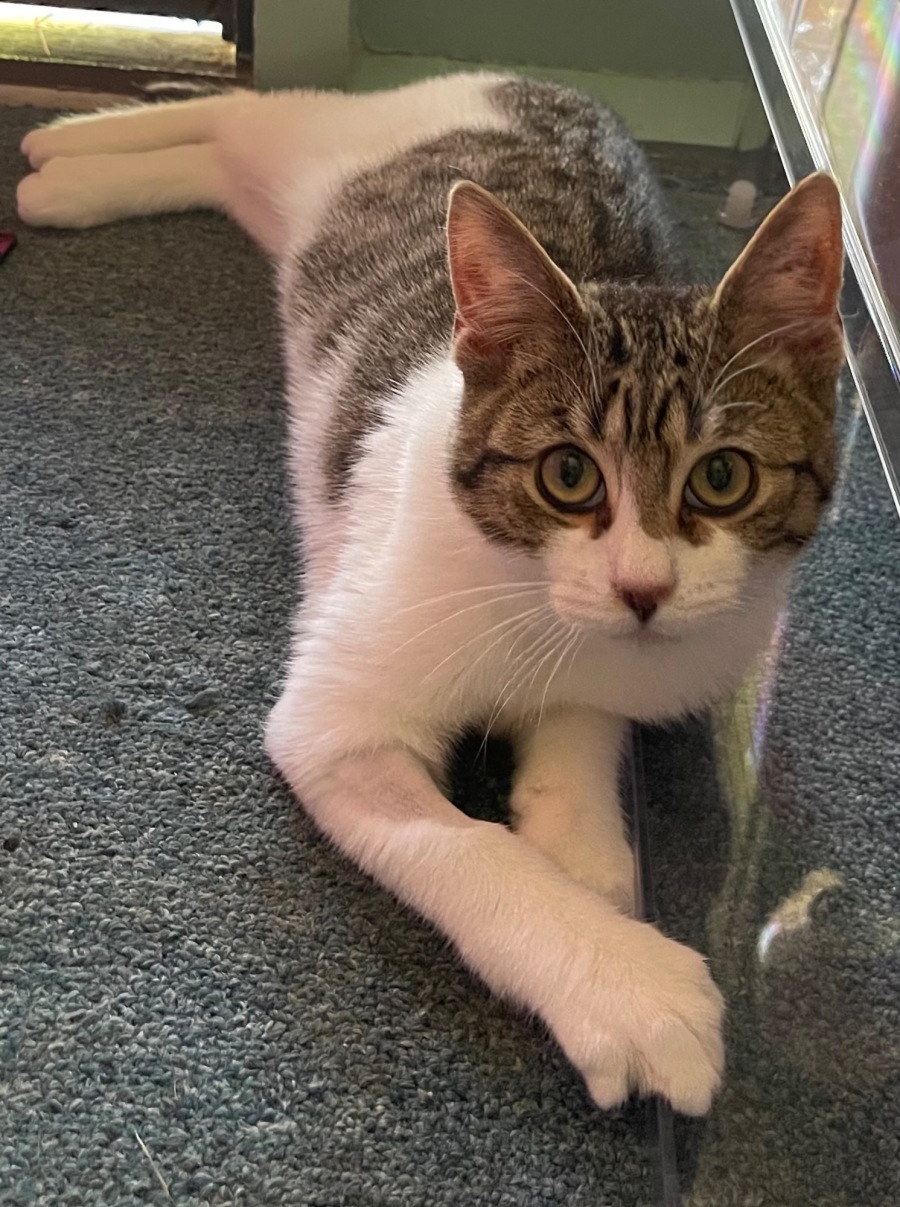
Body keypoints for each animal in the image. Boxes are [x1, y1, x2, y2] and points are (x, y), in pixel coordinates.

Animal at [16, 73, 844, 1115]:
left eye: (723, 478)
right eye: (568, 474)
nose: (643, 587)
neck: (533, 601)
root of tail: (538, 85)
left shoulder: (620, 664)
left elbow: (586, 722)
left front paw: (581, 841)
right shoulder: (336, 721)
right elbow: (459, 846)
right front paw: (625, 984)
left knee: (229, 163)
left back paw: (68, 174)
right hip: (340, 134)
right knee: (248, 108)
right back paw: (61, 152)